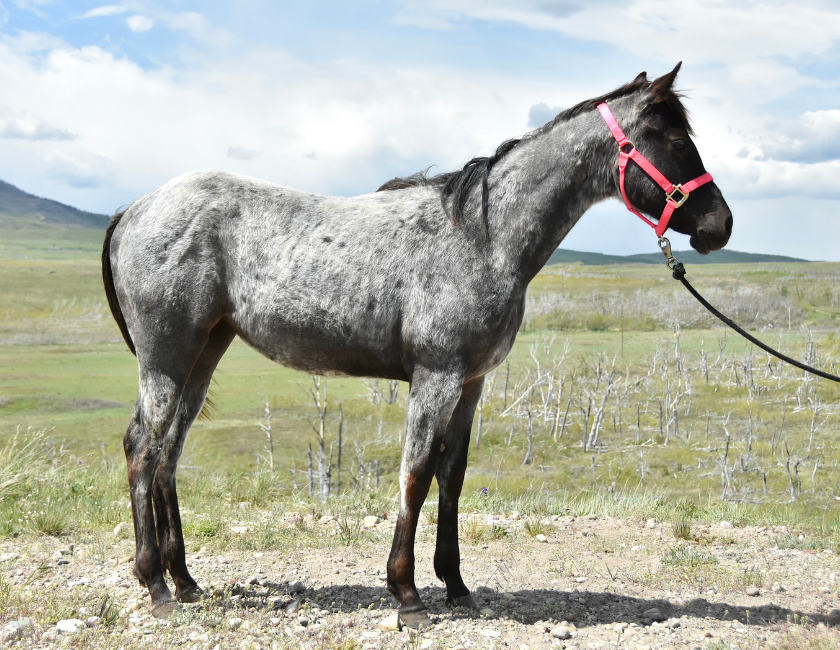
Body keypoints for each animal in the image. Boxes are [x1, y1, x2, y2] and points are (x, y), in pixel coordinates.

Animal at [101, 62, 732, 627]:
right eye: (677, 140)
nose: (719, 226)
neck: (483, 238)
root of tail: (133, 209)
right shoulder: (437, 378)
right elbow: (416, 474)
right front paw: (406, 595)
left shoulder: (471, 384)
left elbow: (451, 476)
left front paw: (455, 585)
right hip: (166, 357)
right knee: (142, 447)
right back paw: (155, 584)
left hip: (202, 354)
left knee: (168, 453)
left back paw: (185, 580)